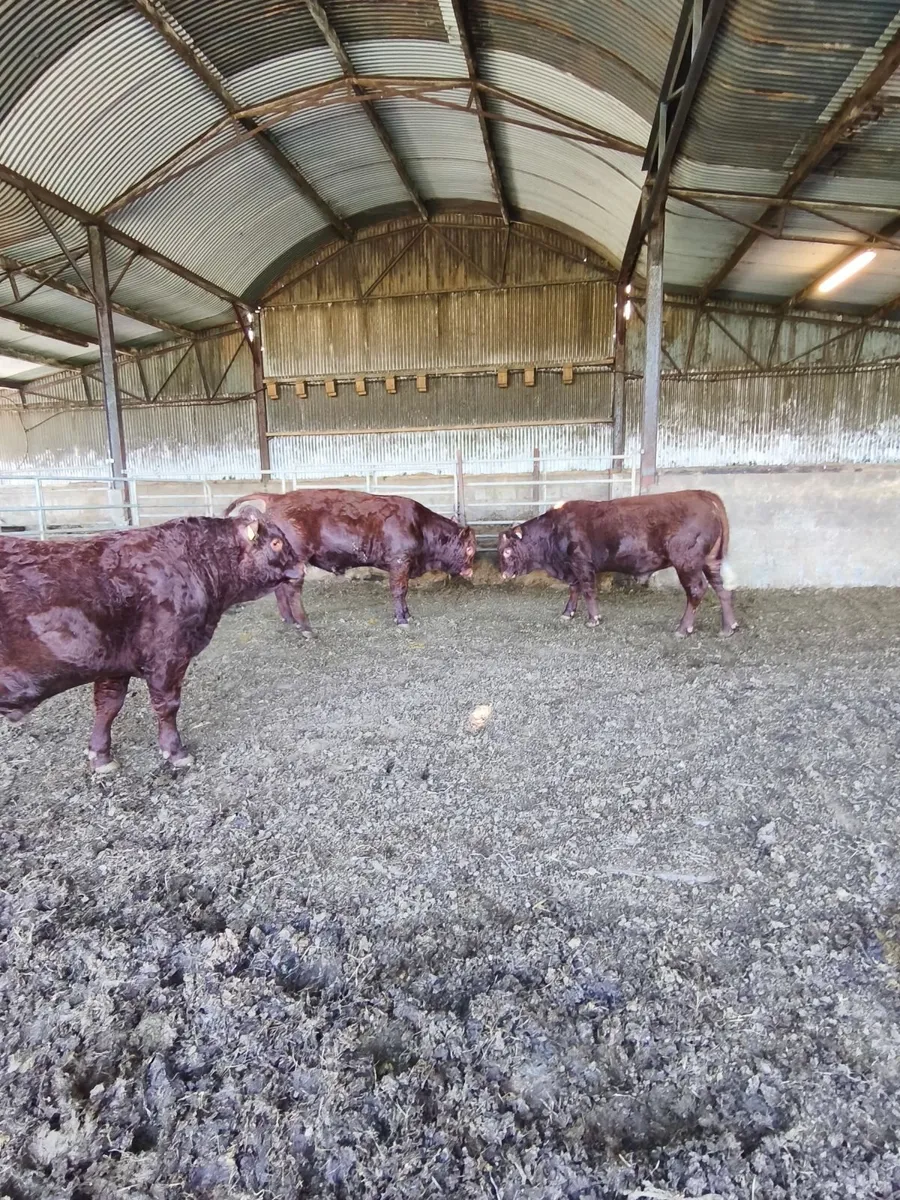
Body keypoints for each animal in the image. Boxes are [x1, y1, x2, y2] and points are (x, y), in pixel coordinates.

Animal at [0, 511, 300, 773]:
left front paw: (100, 755)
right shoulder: (168, 655)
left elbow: (108, 705)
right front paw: (175, 751)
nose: (300, 566)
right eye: (276, 542)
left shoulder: (113, 663)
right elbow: (167, 705)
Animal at [223, 488, 477, 632]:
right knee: (292, 591)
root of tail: (277, 497)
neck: (420, 526)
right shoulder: (399, 562)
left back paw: (289, 620)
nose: (470, 570)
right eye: (470, 548)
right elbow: (399, 590)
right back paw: (305, 626)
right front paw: (401, 619)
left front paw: (407, 614)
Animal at [497, 490, 739, 637]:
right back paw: (729, 626)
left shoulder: (582, 563)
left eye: (507, 550)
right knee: (721, 588)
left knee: (697, 590)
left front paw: (593, 619)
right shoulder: (571, 567)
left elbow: (587, 590)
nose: (503, 574)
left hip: (687, 562)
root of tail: (703, 494)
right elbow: (574, 588)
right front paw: (568, 613)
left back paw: (683, 628)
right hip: (710, 561)